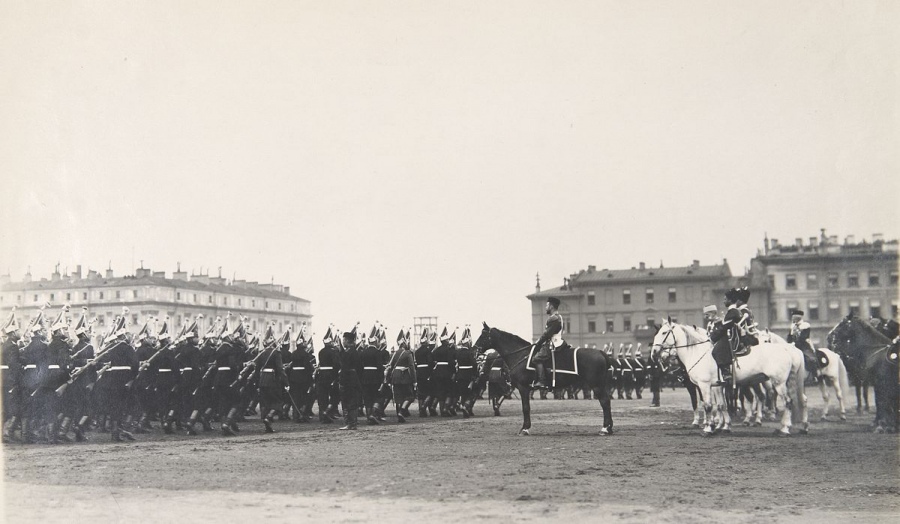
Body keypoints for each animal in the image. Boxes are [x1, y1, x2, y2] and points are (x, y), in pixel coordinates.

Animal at [472, 322, 612, 436]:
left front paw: (525, 429)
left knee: (605, 402)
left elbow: (525, 408)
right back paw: (609, 428)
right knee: (607, 402)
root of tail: (601, 353)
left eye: (483, 335)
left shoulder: (523, 388)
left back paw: (605, 429)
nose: (474, 351)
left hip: (596, 385)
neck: (521, 355)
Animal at [648, 320, 808, 438]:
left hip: (778, 383)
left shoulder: (704, 385)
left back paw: (784, 429)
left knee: (787, 402)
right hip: (789, 381)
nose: (654, 353)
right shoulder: (717, 386)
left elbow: (708, 406)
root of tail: (788, 348)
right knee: (802, 400)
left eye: (664, 332)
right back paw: (803, 427)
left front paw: (708, 429)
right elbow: (721, 405)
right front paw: (723, 427)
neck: (697, 352)